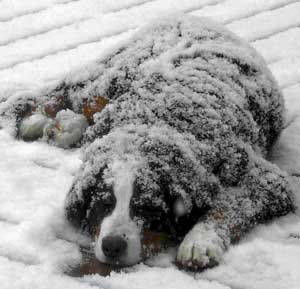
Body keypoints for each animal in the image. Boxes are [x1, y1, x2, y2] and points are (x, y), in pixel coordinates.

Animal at [9, 14, 296, 270]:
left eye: (146, 208)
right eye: (105, 204)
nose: (112, 245)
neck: (155, 124)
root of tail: (190, 16)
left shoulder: (267, 180)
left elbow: (228, 207)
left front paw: (199, 243)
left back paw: (64, 125)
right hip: (110, 81)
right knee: (67, 93)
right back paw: (41, 121)